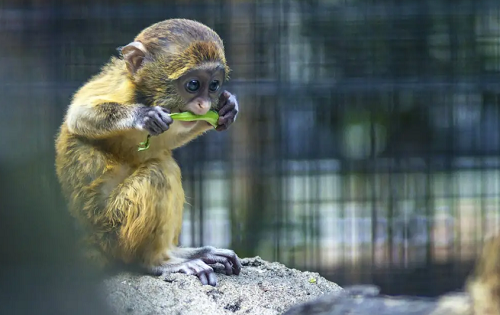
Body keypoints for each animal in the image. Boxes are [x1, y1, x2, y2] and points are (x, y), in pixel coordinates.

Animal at [53, 18, 241, 288]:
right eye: (193, 85)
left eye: (214, 85)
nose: (204, 104)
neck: (147, 95)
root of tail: (93, 240)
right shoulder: (122, 89)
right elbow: (78, 116)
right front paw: (143, 116)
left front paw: (227, 108)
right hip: (114, 229)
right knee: (160, 172)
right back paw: (158, 261)